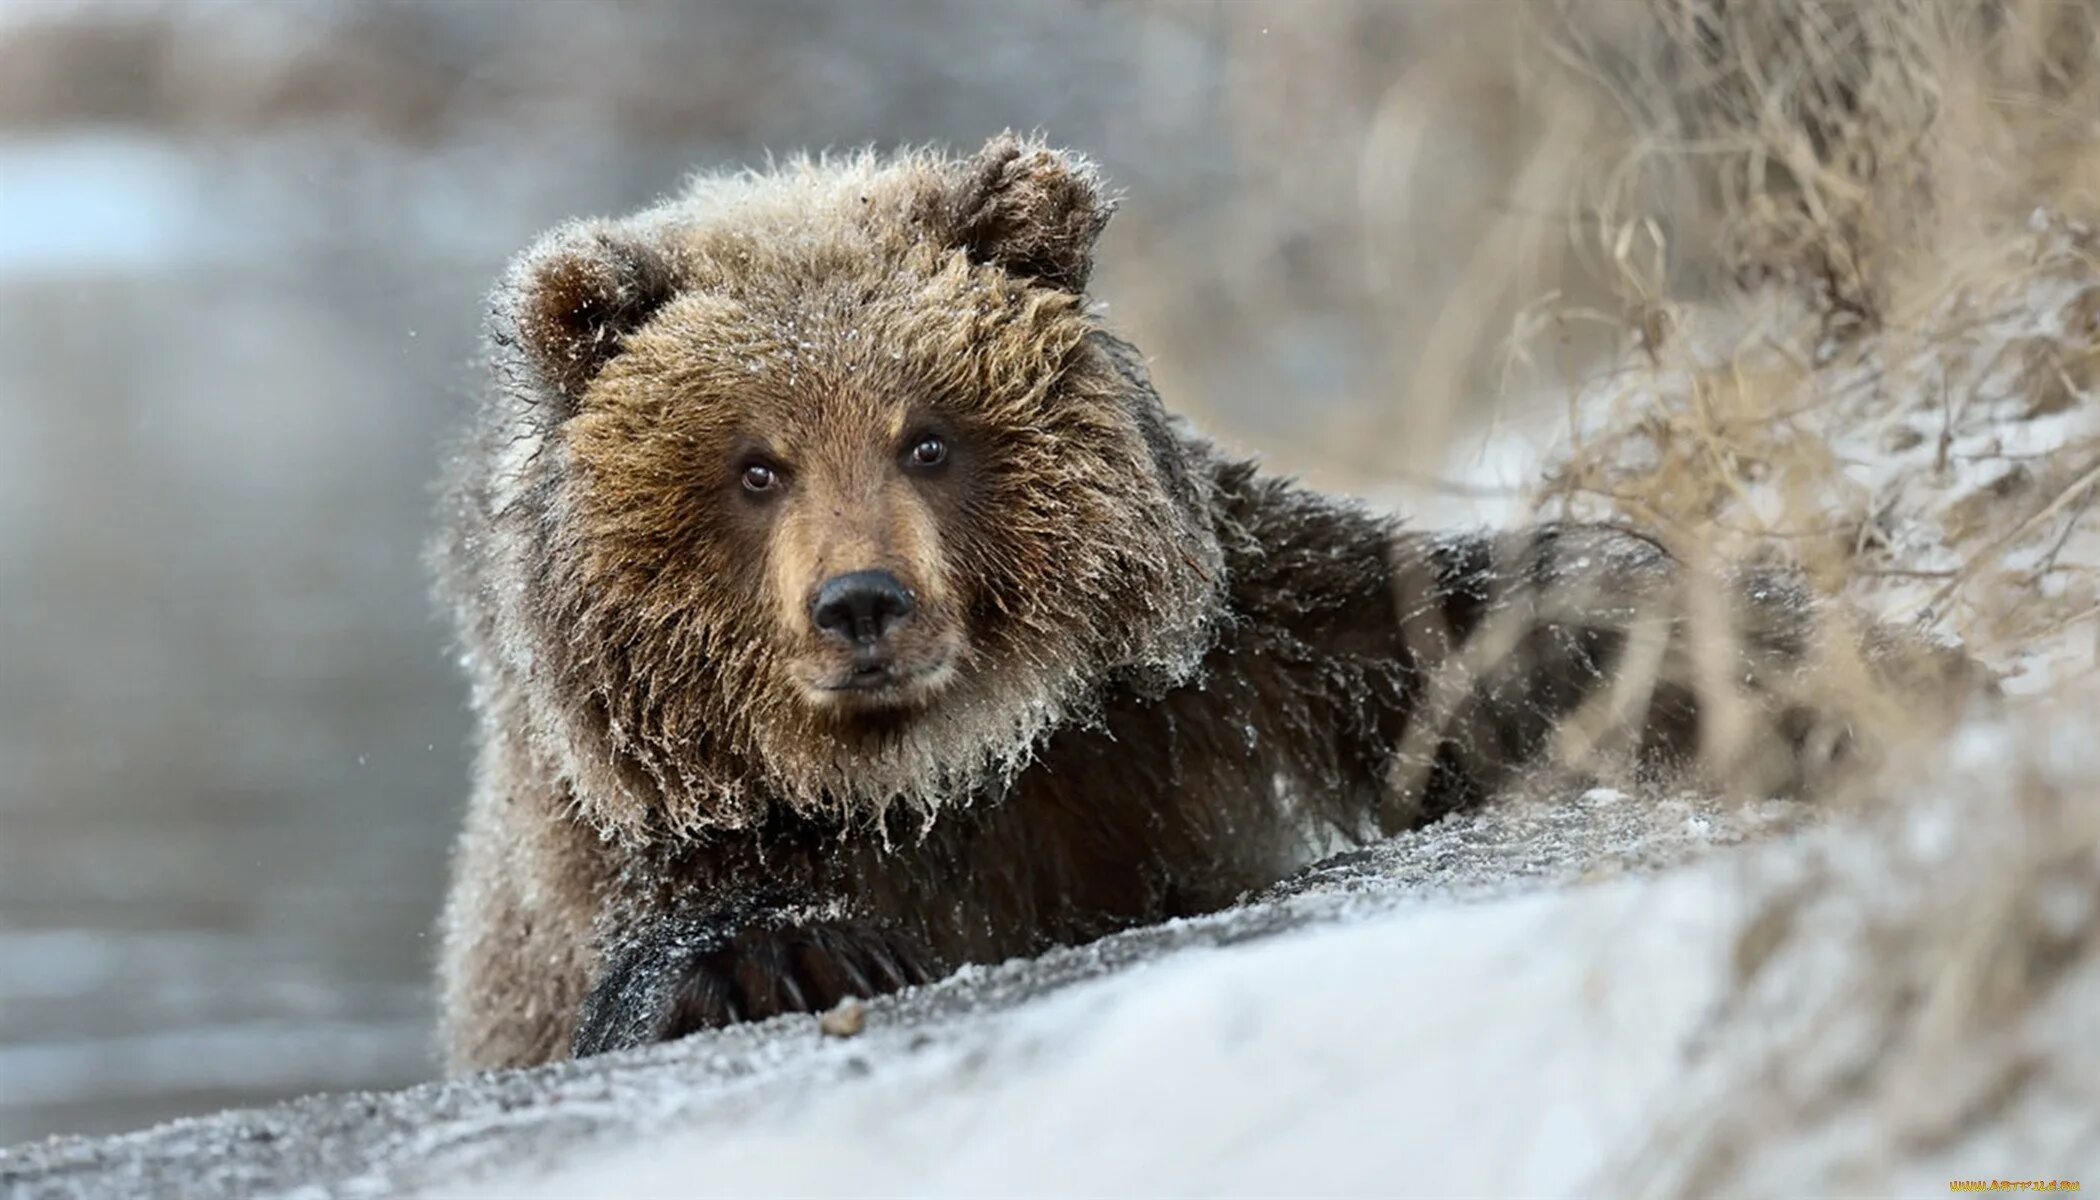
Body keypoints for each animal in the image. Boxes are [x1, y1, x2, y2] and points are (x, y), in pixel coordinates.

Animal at [432, 134, 1939, 1071]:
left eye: (927, 438)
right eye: (756, 465)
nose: (863, 603)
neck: (934, 769)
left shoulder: (1222, 682)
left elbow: (1491, 637)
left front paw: (1845, 672)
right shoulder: (610, 848)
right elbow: (674, 945)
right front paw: (786, 959)